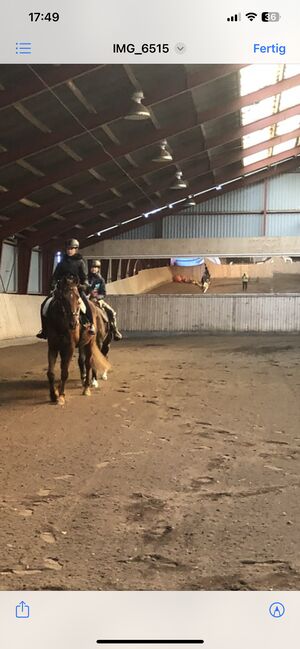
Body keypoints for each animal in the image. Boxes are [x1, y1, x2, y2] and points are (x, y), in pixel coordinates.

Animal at [45, 274, 109, 404]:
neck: (61, 323)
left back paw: (87, 388)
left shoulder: (69, 347)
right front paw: (53, 394)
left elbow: (65, 372)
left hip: (91, 343)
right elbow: (51, 373)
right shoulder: (53, 347)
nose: (73, 323)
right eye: (62, 298)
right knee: (82, 361)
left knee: (88, 363)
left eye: (78, 298)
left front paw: (61, 395)